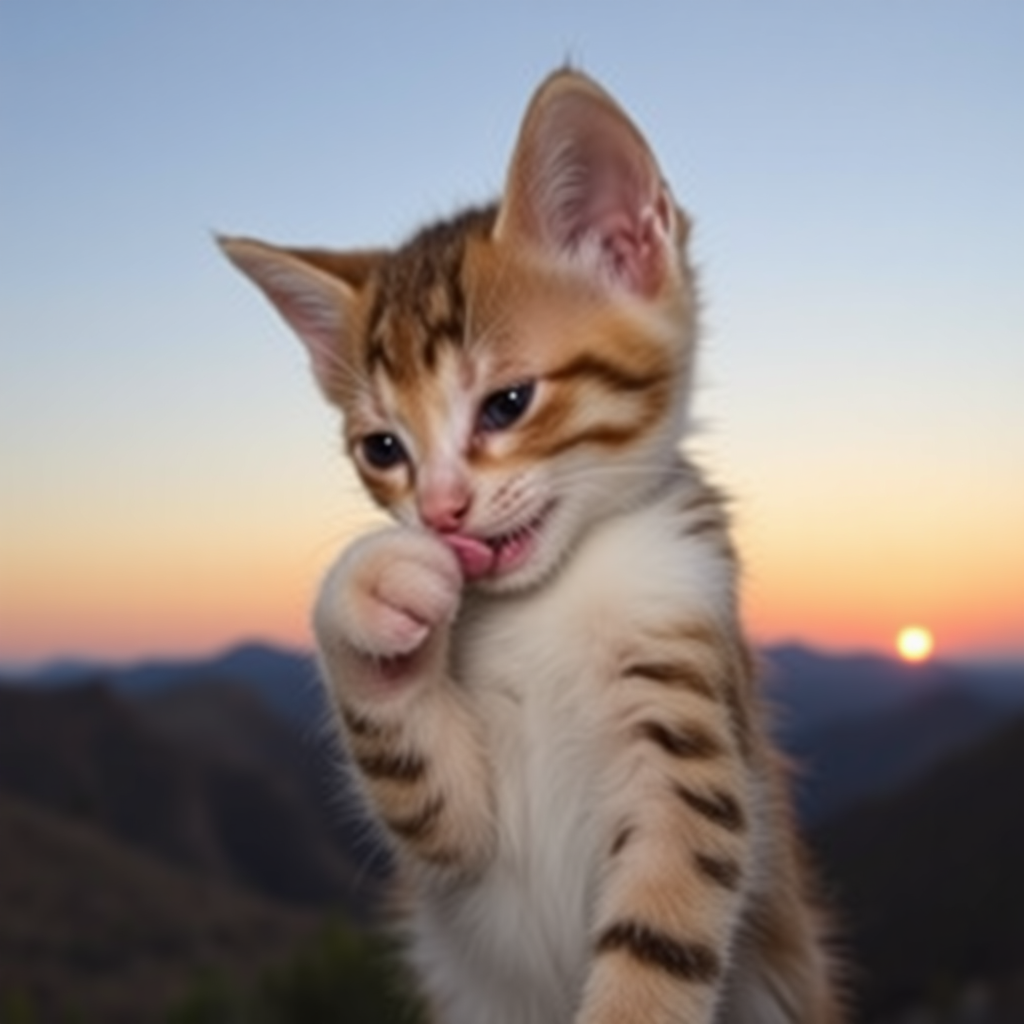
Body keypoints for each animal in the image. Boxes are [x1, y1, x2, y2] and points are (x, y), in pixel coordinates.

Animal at [220, 68, 843, 1019]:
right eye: (383, 449)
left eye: (508, 404)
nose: (440, 511)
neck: (550, 600)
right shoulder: (464, 835)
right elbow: (437, 809)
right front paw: (374, 595)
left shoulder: (687, 694)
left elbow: (666, 913)